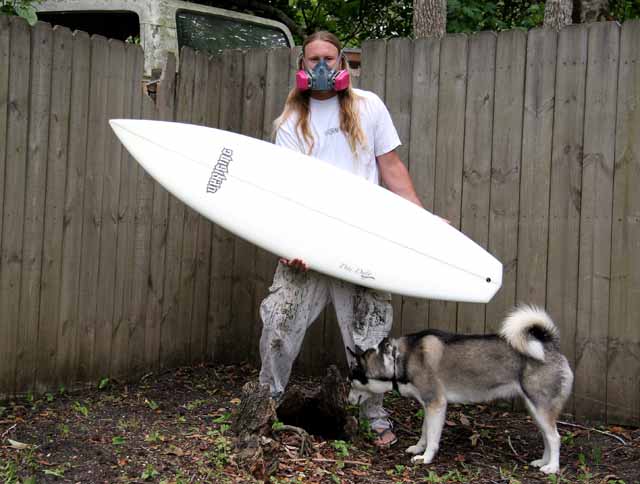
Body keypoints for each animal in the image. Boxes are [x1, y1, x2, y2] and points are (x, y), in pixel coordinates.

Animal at [348, 305, 573, 474]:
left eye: (352, 380)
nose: (348, 400)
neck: (397, 358)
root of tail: (550, 345)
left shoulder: (436, 404)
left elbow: (433, 437)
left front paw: (426, 457)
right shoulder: (428, 405)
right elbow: (425, 432)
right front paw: (418, 448)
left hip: (541, 408)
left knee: (555, 438)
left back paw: (552, 467)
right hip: (535, 409)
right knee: (546, 436)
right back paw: (542, 462)